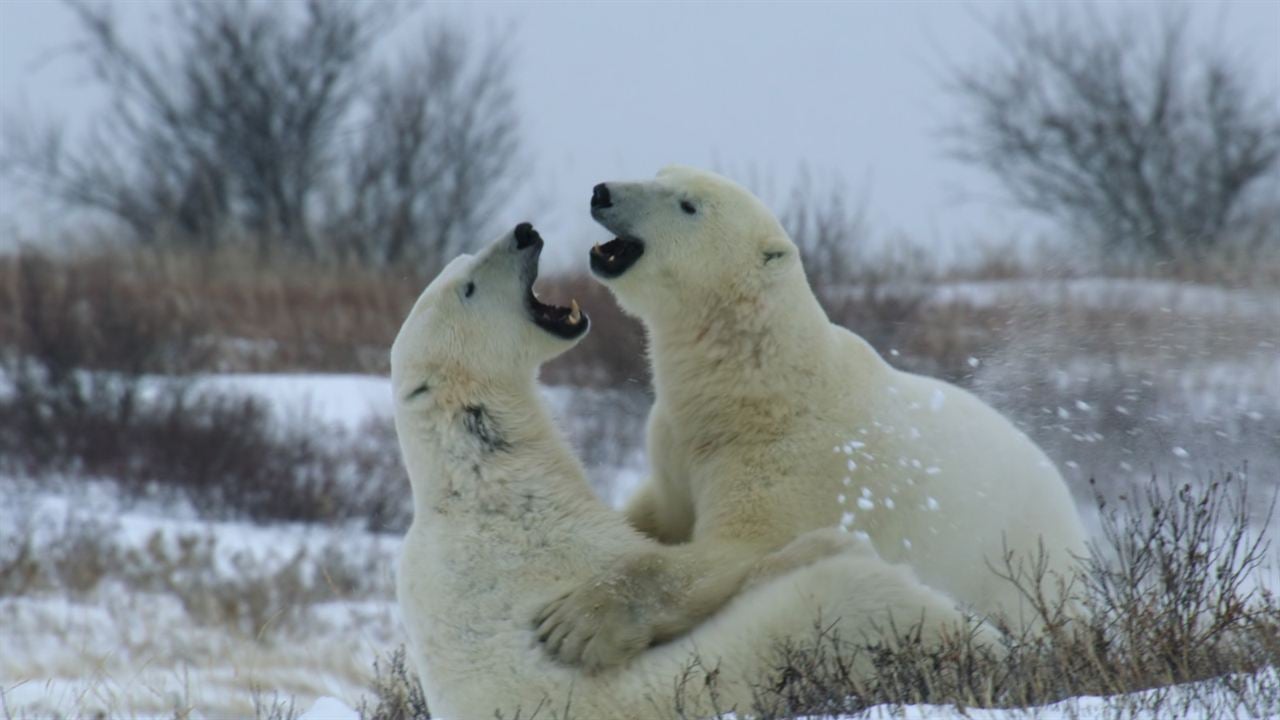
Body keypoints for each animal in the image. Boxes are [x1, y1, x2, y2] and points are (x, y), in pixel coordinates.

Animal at [389, 221, 988, 712]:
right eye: (467, 286)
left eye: (463, 258)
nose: (523, 232)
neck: (480, 475)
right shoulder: (547, 541)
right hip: (792, 644)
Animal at [535, 166, 1085, 666]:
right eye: (659, 173)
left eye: (688, 204)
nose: (602, 192)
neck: (753, 384)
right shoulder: (677, 442)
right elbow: (657, 512)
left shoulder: (793, 462)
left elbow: (736, 550)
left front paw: (575, 623)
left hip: (1019, 562)